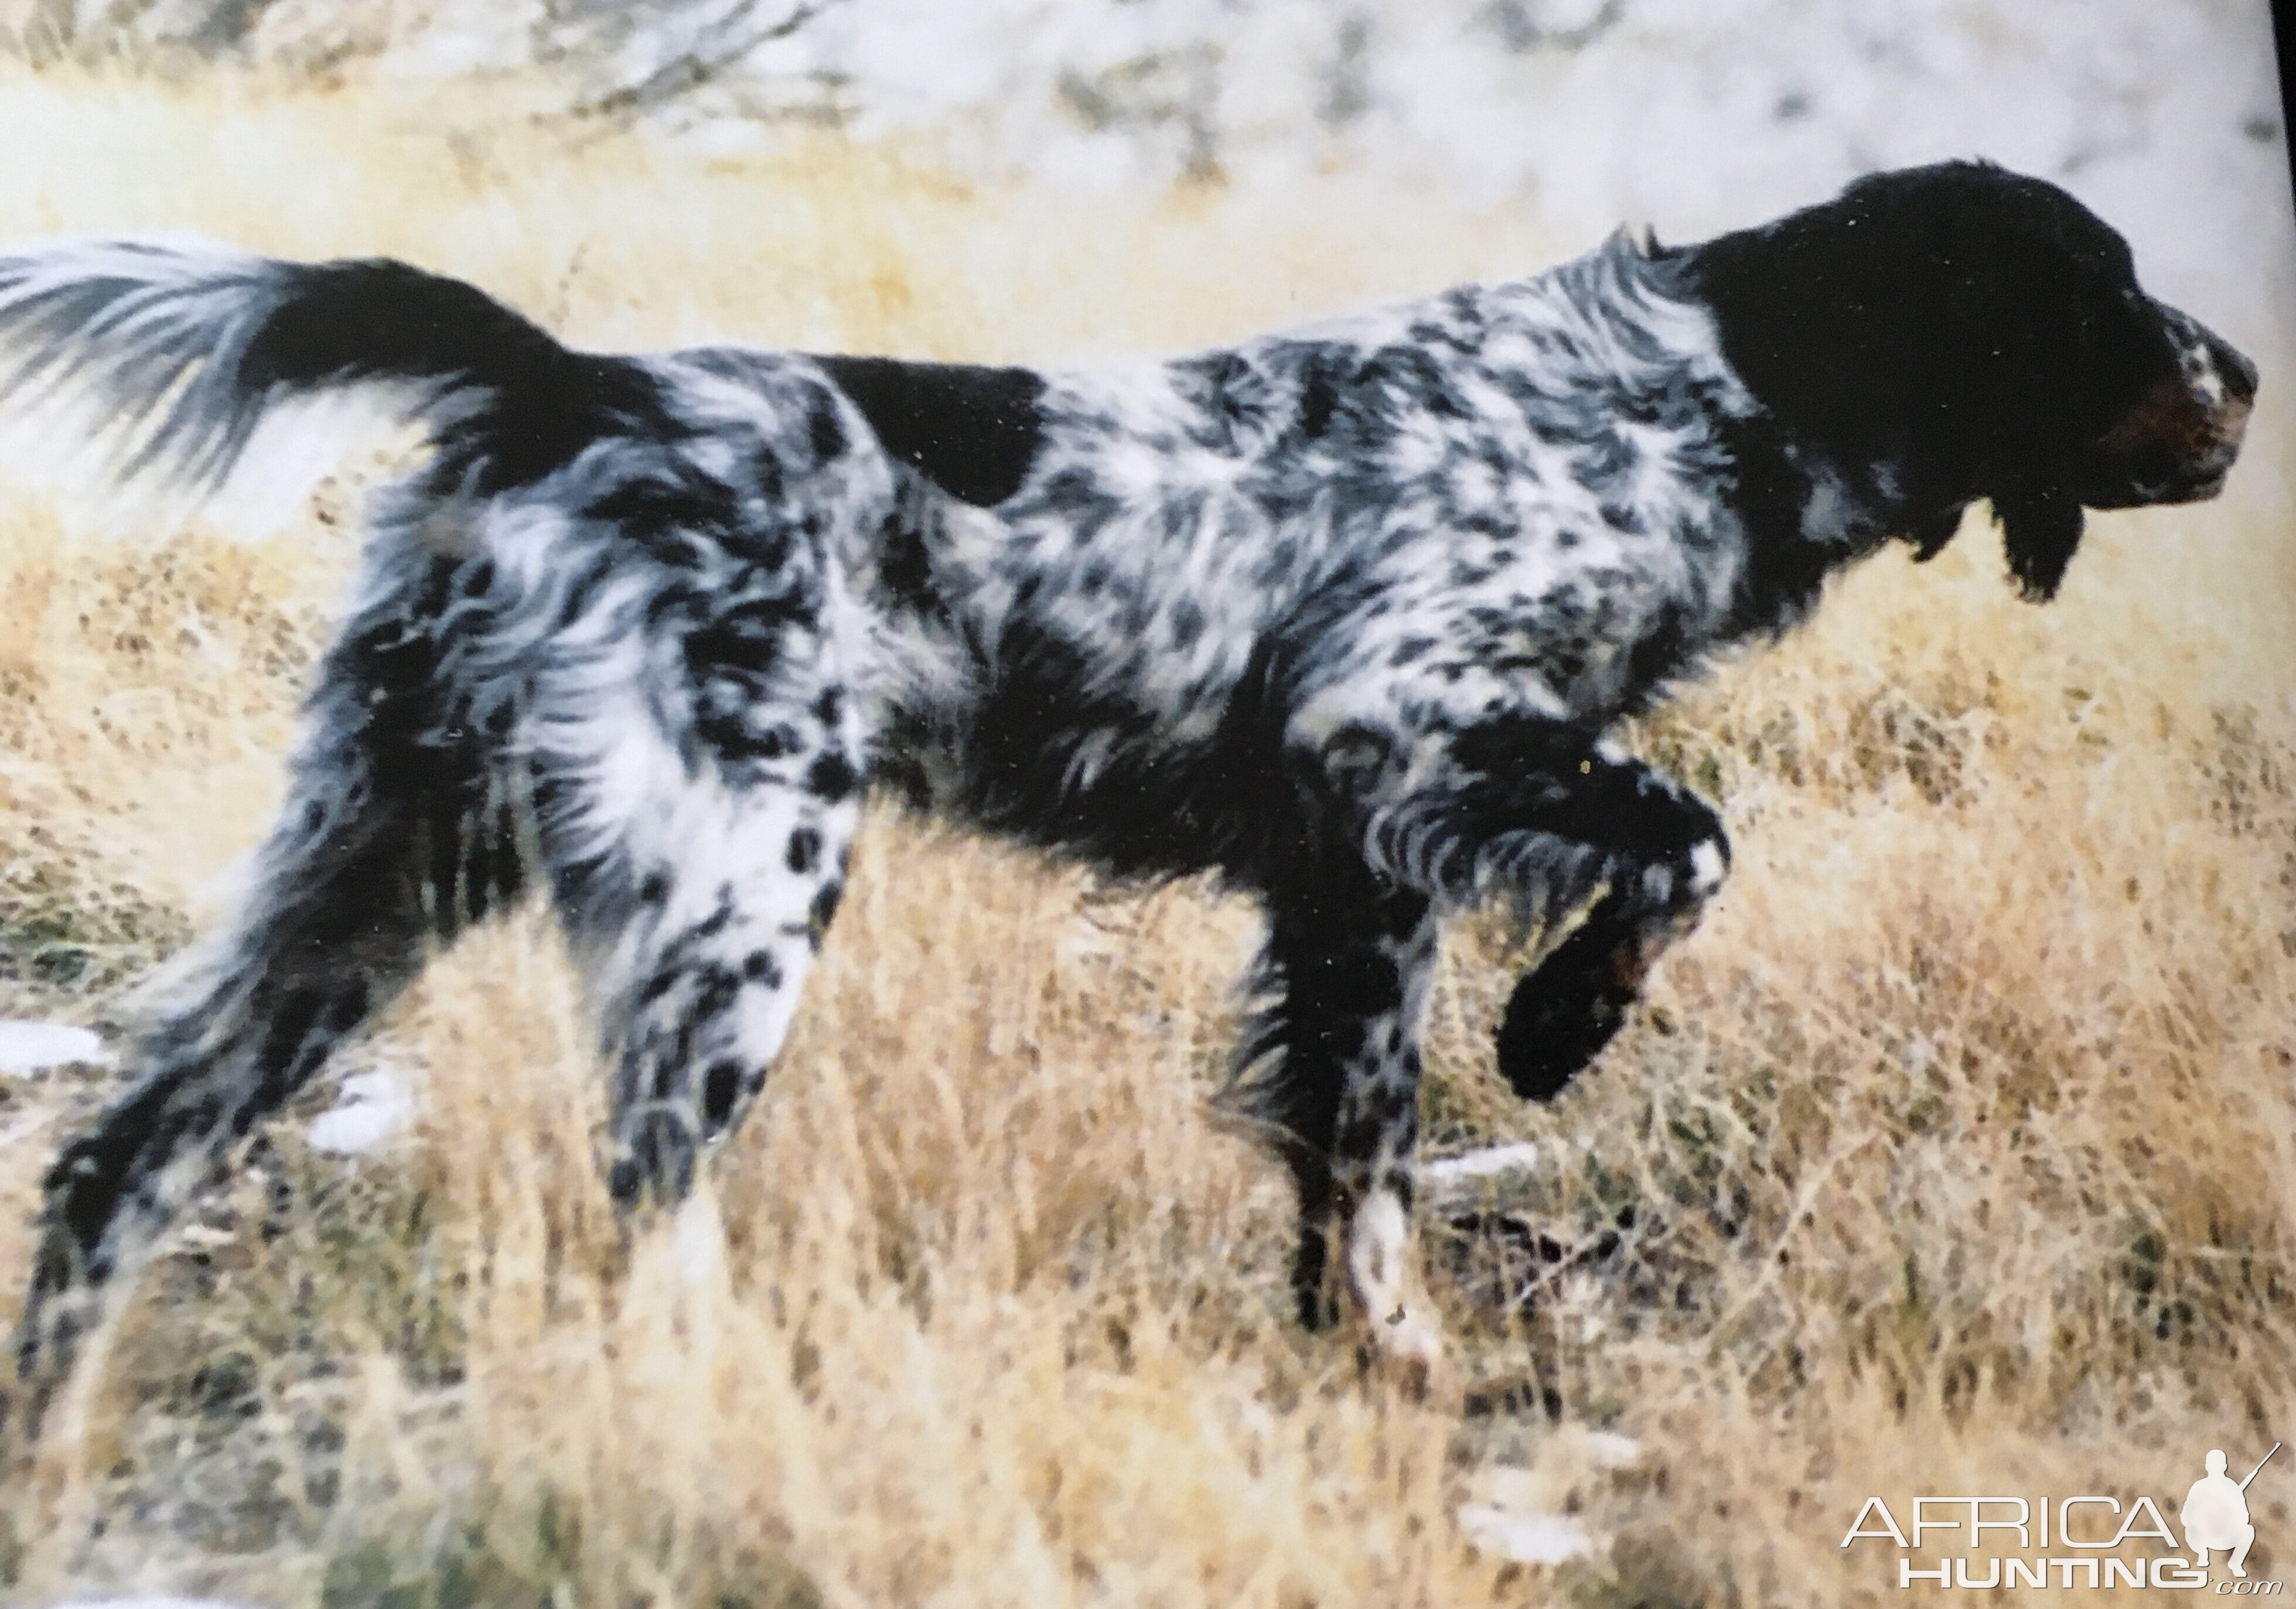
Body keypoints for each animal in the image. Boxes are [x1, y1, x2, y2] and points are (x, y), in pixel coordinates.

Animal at [0, 163, 2259, 1413]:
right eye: (2101, 294)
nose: (2244, 376)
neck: (1703, 390)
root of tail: (562, 381)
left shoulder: (1360, 875)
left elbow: (1353, 1151)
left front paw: (1383, 1360)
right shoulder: (1395, 724)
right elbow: (1690, 839)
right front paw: (1560, 1025)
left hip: (367, 869)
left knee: (114, 1168)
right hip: (737, 889)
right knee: (640, 1205)